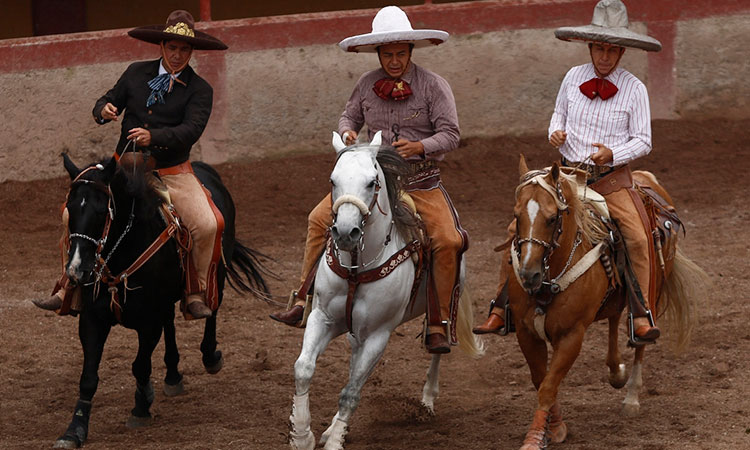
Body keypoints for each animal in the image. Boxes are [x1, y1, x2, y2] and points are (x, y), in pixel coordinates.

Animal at [49, 154, 270, 446]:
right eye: (70, 209)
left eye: (100, 211)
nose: (77, 270)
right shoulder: (92, 319)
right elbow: (88, 377)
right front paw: (74, 430)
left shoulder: (148, 322)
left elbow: (140, 365)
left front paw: (141, 407)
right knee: (171, 324)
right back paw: (173, 374)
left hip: (217, 273)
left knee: (212, 308)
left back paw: (210, 356)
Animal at [288, 132, 488, 450]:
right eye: (333, 180)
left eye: (372, 182)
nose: (345, 233)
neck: (356, 267)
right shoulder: (323, 318)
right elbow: (304, 368)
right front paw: (303, 436)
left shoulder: (378, 334)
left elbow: (351, 391)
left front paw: (333, 442)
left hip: (444, 307)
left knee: (437, 348)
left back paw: (427, 400)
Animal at [508, 156, 708, 448]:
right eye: (517, 216)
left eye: (552, 217)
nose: (528, 275)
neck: (549, 279)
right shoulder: (526, 332)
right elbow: (541, 380)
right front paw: (554, 427)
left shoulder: (572, 335)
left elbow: (547, 387)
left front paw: (535, 437)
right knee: (614, 317)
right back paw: (616, 372)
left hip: (654, 290)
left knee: (641, 336)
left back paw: (631, 397)